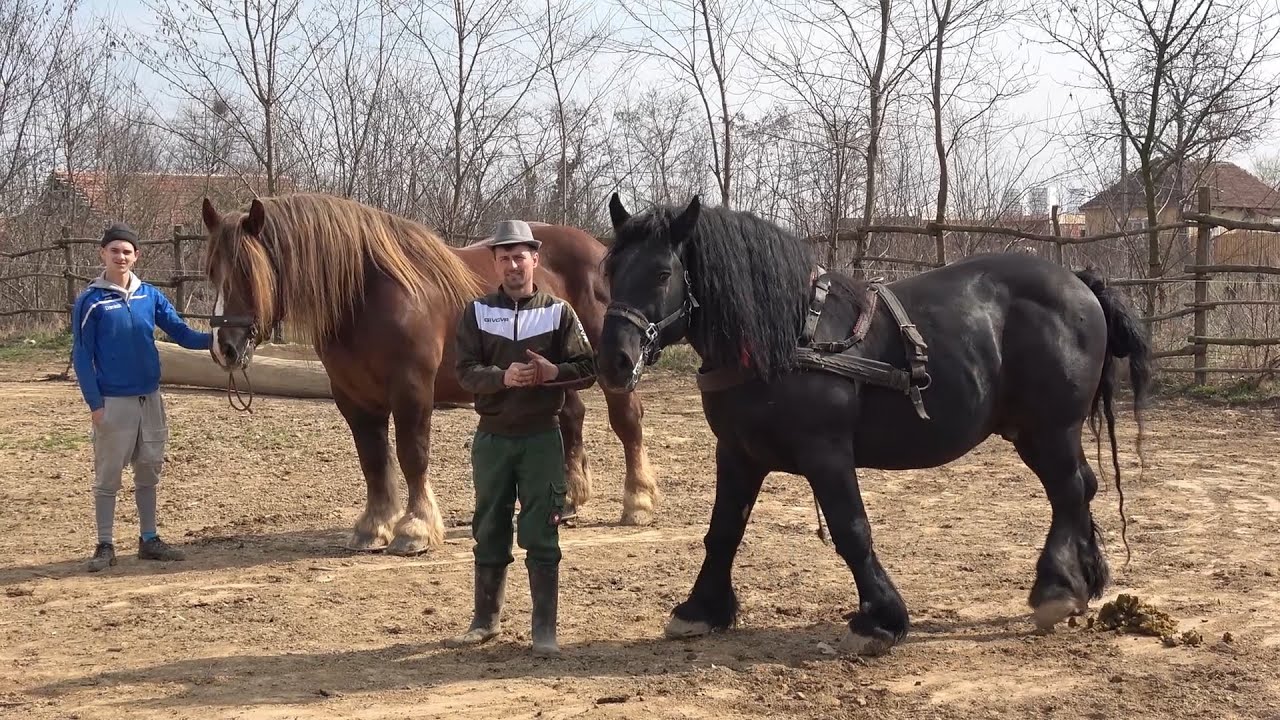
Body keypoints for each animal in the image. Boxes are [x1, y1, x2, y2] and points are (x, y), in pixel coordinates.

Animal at [198, 193, 659, 556]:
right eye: (212, 272)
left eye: (249, 272)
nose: (224, 347)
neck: (366, 294)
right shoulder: (353, 397)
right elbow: (372, 459)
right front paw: (373, 527)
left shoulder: (412, 390)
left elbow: (411, 454)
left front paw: (415, 529)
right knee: (571, 418)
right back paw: (567, 502)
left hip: (610, 364)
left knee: (626, 422)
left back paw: (638, 502)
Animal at [595, 194, 1152, 656]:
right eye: (612, 270)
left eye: (662, 273)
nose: (614, 362)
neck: (788, 337)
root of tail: (1080, 282)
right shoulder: (737, 452)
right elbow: (724, 530)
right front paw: (700, 609)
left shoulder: (826, 453)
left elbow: (851, 530)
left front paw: (880, 619)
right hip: (1036, 433)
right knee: (1081, 489)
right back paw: (1083, 581)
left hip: (1047, 430)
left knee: (1069, 491)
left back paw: (1057, 589)